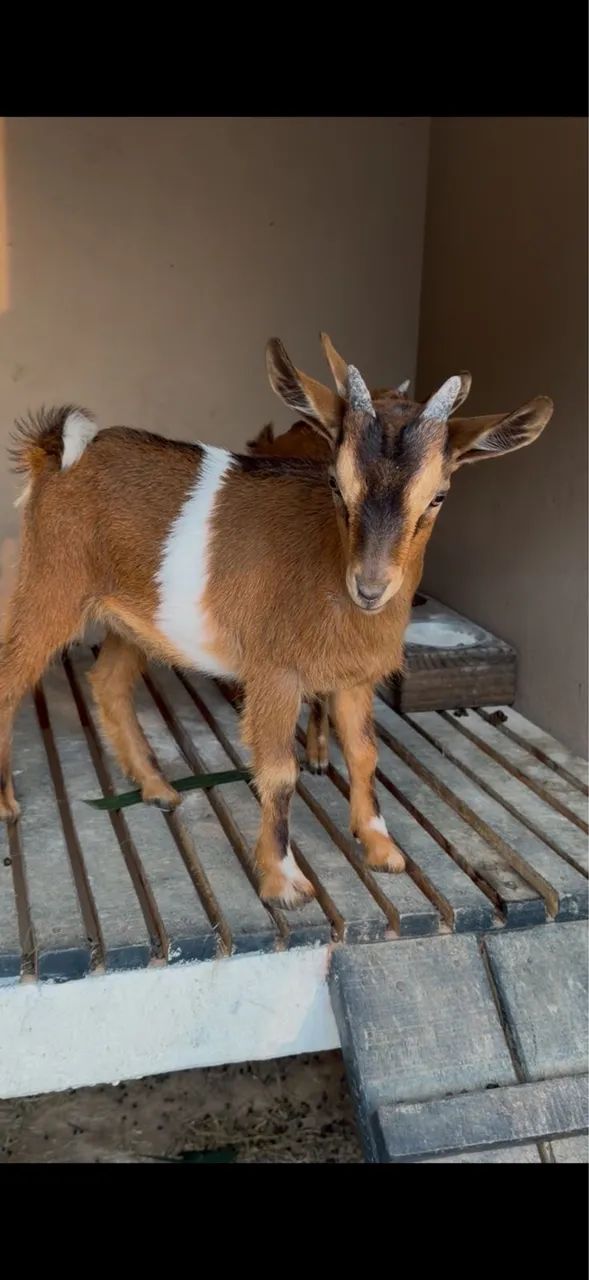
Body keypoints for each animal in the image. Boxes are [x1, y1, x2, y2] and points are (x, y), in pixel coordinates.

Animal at [0, 336, 553, 908]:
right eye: (335, 482)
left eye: (438, 496)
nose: (370, 588)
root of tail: (51, 452)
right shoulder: (275, 674)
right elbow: (280, 773)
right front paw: (284, 880)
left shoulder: (354, 678)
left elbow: (364, 754)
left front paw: (381, 846)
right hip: (52, 583)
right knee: (10, 678)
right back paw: (8, 804)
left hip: (131, 618)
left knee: (108, 683)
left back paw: (159, 790)